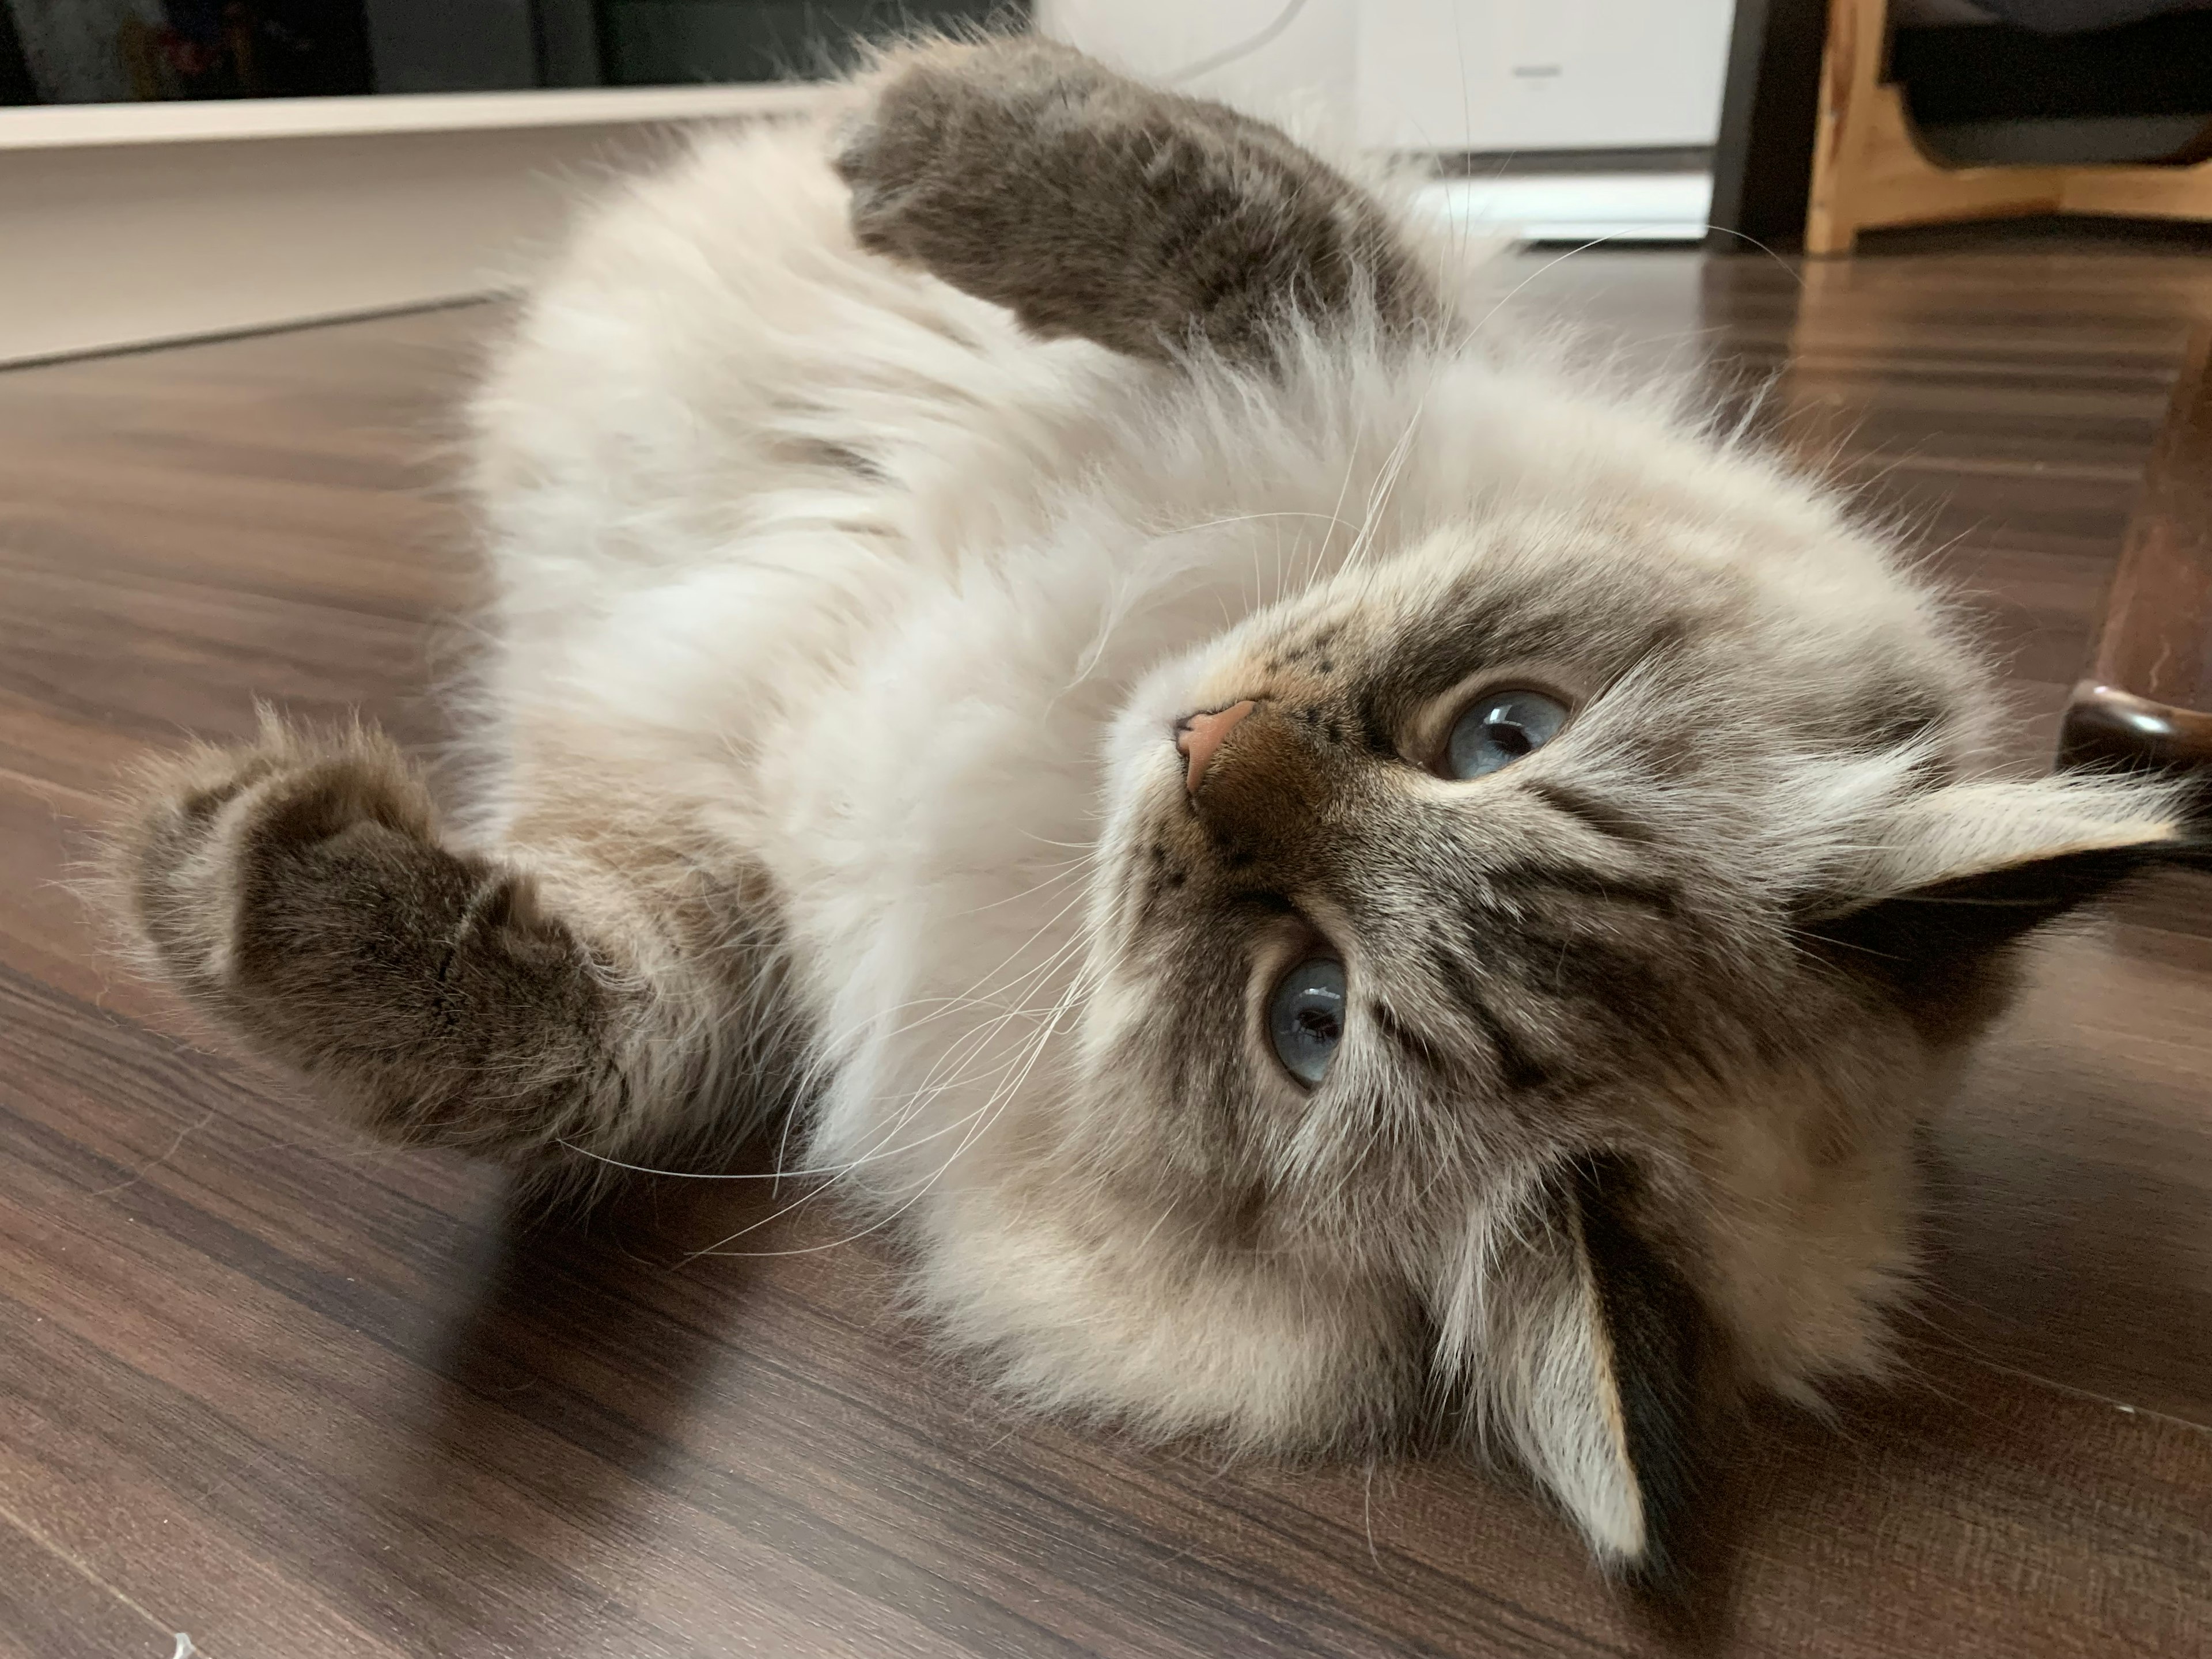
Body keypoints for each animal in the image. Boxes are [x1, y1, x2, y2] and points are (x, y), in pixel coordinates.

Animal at [108, 29, 2194, 1584]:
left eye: (1307, 1019)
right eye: (1501, 732)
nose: (1205, 748)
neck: (1054, 715)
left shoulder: (764, 915)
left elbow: (583, 1034)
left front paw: (214, 884)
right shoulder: (1354, 314)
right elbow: (1233, 209)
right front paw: (919, 135)